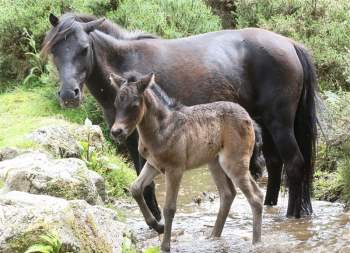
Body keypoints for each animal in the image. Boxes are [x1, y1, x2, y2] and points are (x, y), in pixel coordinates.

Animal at [42, 12, 318, 219]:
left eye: (83, 49)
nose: (69, 94)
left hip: (279, 124)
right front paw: (155, 221)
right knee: (275, 163)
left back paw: (293, 216)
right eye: (55, 50)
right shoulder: (130, 139)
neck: (125, 66)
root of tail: (290, 44)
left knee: (294, 163)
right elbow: (144, 183)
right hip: (264, 123)